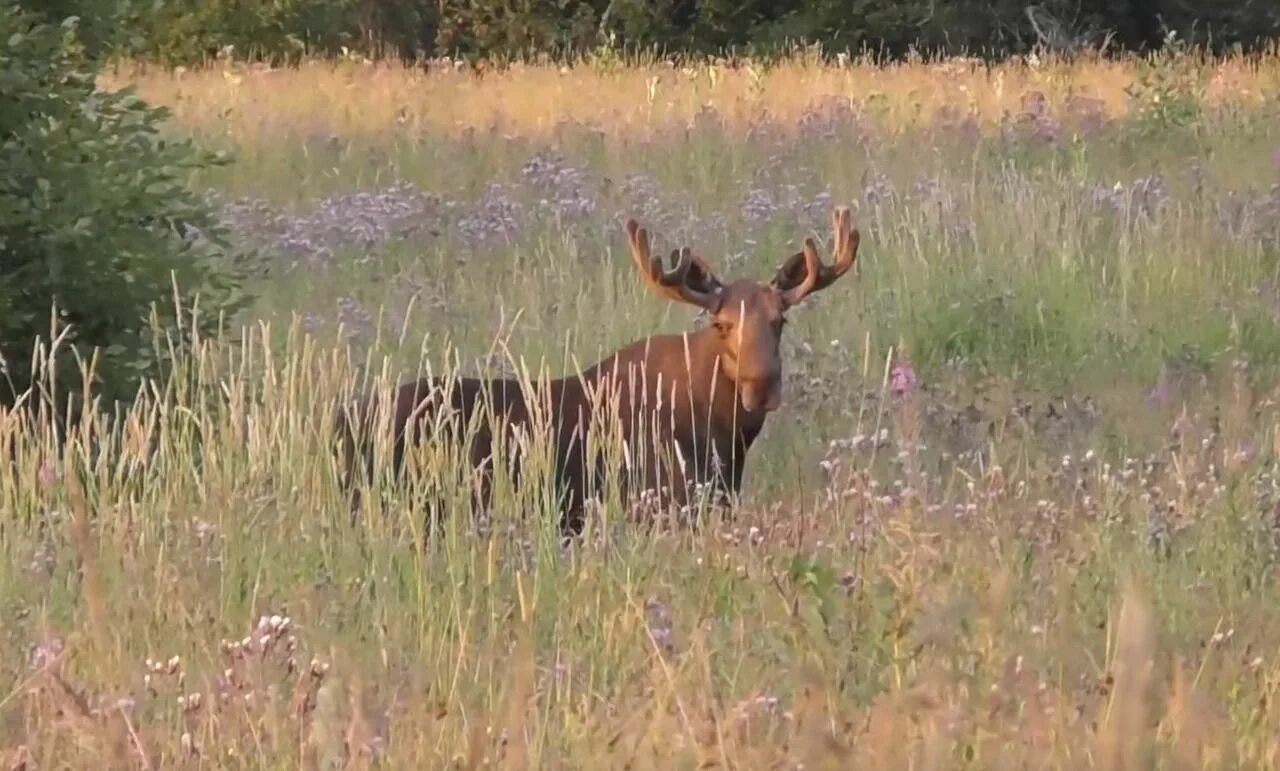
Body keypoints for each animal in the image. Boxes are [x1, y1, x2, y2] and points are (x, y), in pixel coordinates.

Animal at [335, 202, 865, 535]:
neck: (724, 435)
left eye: (781, 320)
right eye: (720, 323)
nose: (762, 385)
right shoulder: (661, 499)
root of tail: (338, 421)